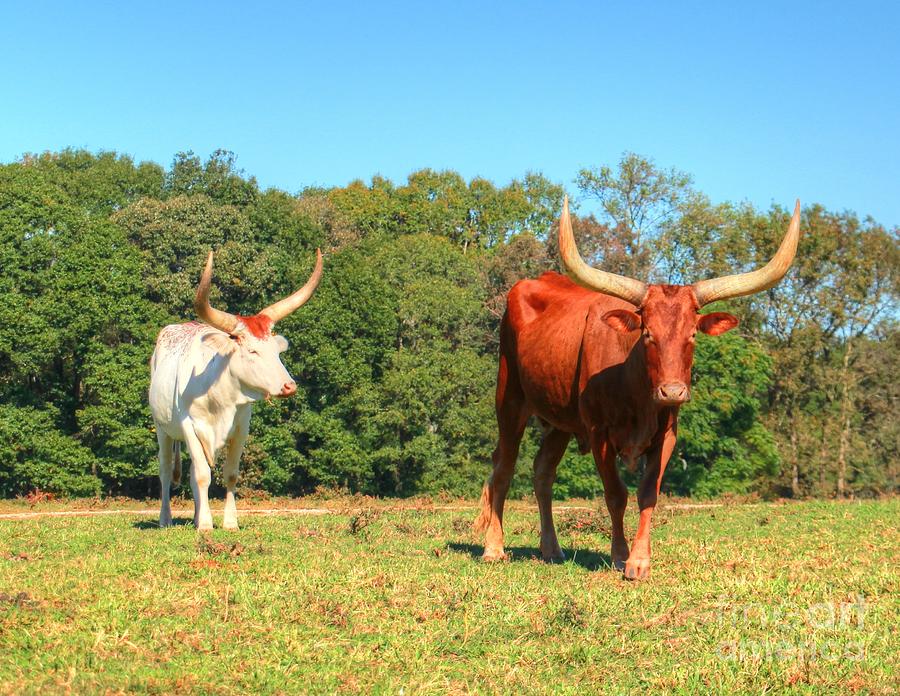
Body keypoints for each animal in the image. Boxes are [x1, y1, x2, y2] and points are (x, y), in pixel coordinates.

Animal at [151, 250, 324, 528]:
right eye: (252, 351)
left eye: (276, 351)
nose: (289, 386)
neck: (219, 395)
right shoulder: (189, 425)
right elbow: (202, 475)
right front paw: (206, 525)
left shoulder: (242, 427)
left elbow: (230, 474)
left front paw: (228, 522)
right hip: (162, 428)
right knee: (166, 469)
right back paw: (165, 518)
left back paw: (197, 515)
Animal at [474, 198, 800, 580]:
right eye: (647, 334)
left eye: (692, 334)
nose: (672, 392)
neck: (637, 394)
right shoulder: (599, 432)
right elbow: (616, 494)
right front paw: (619, 555)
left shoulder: (667, 434)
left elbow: (648, 494)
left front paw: (640, 560)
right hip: (509, 398)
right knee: (504, 467)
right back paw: (494, 548)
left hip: (559, 420)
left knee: (543, 472)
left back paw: (551, 549)